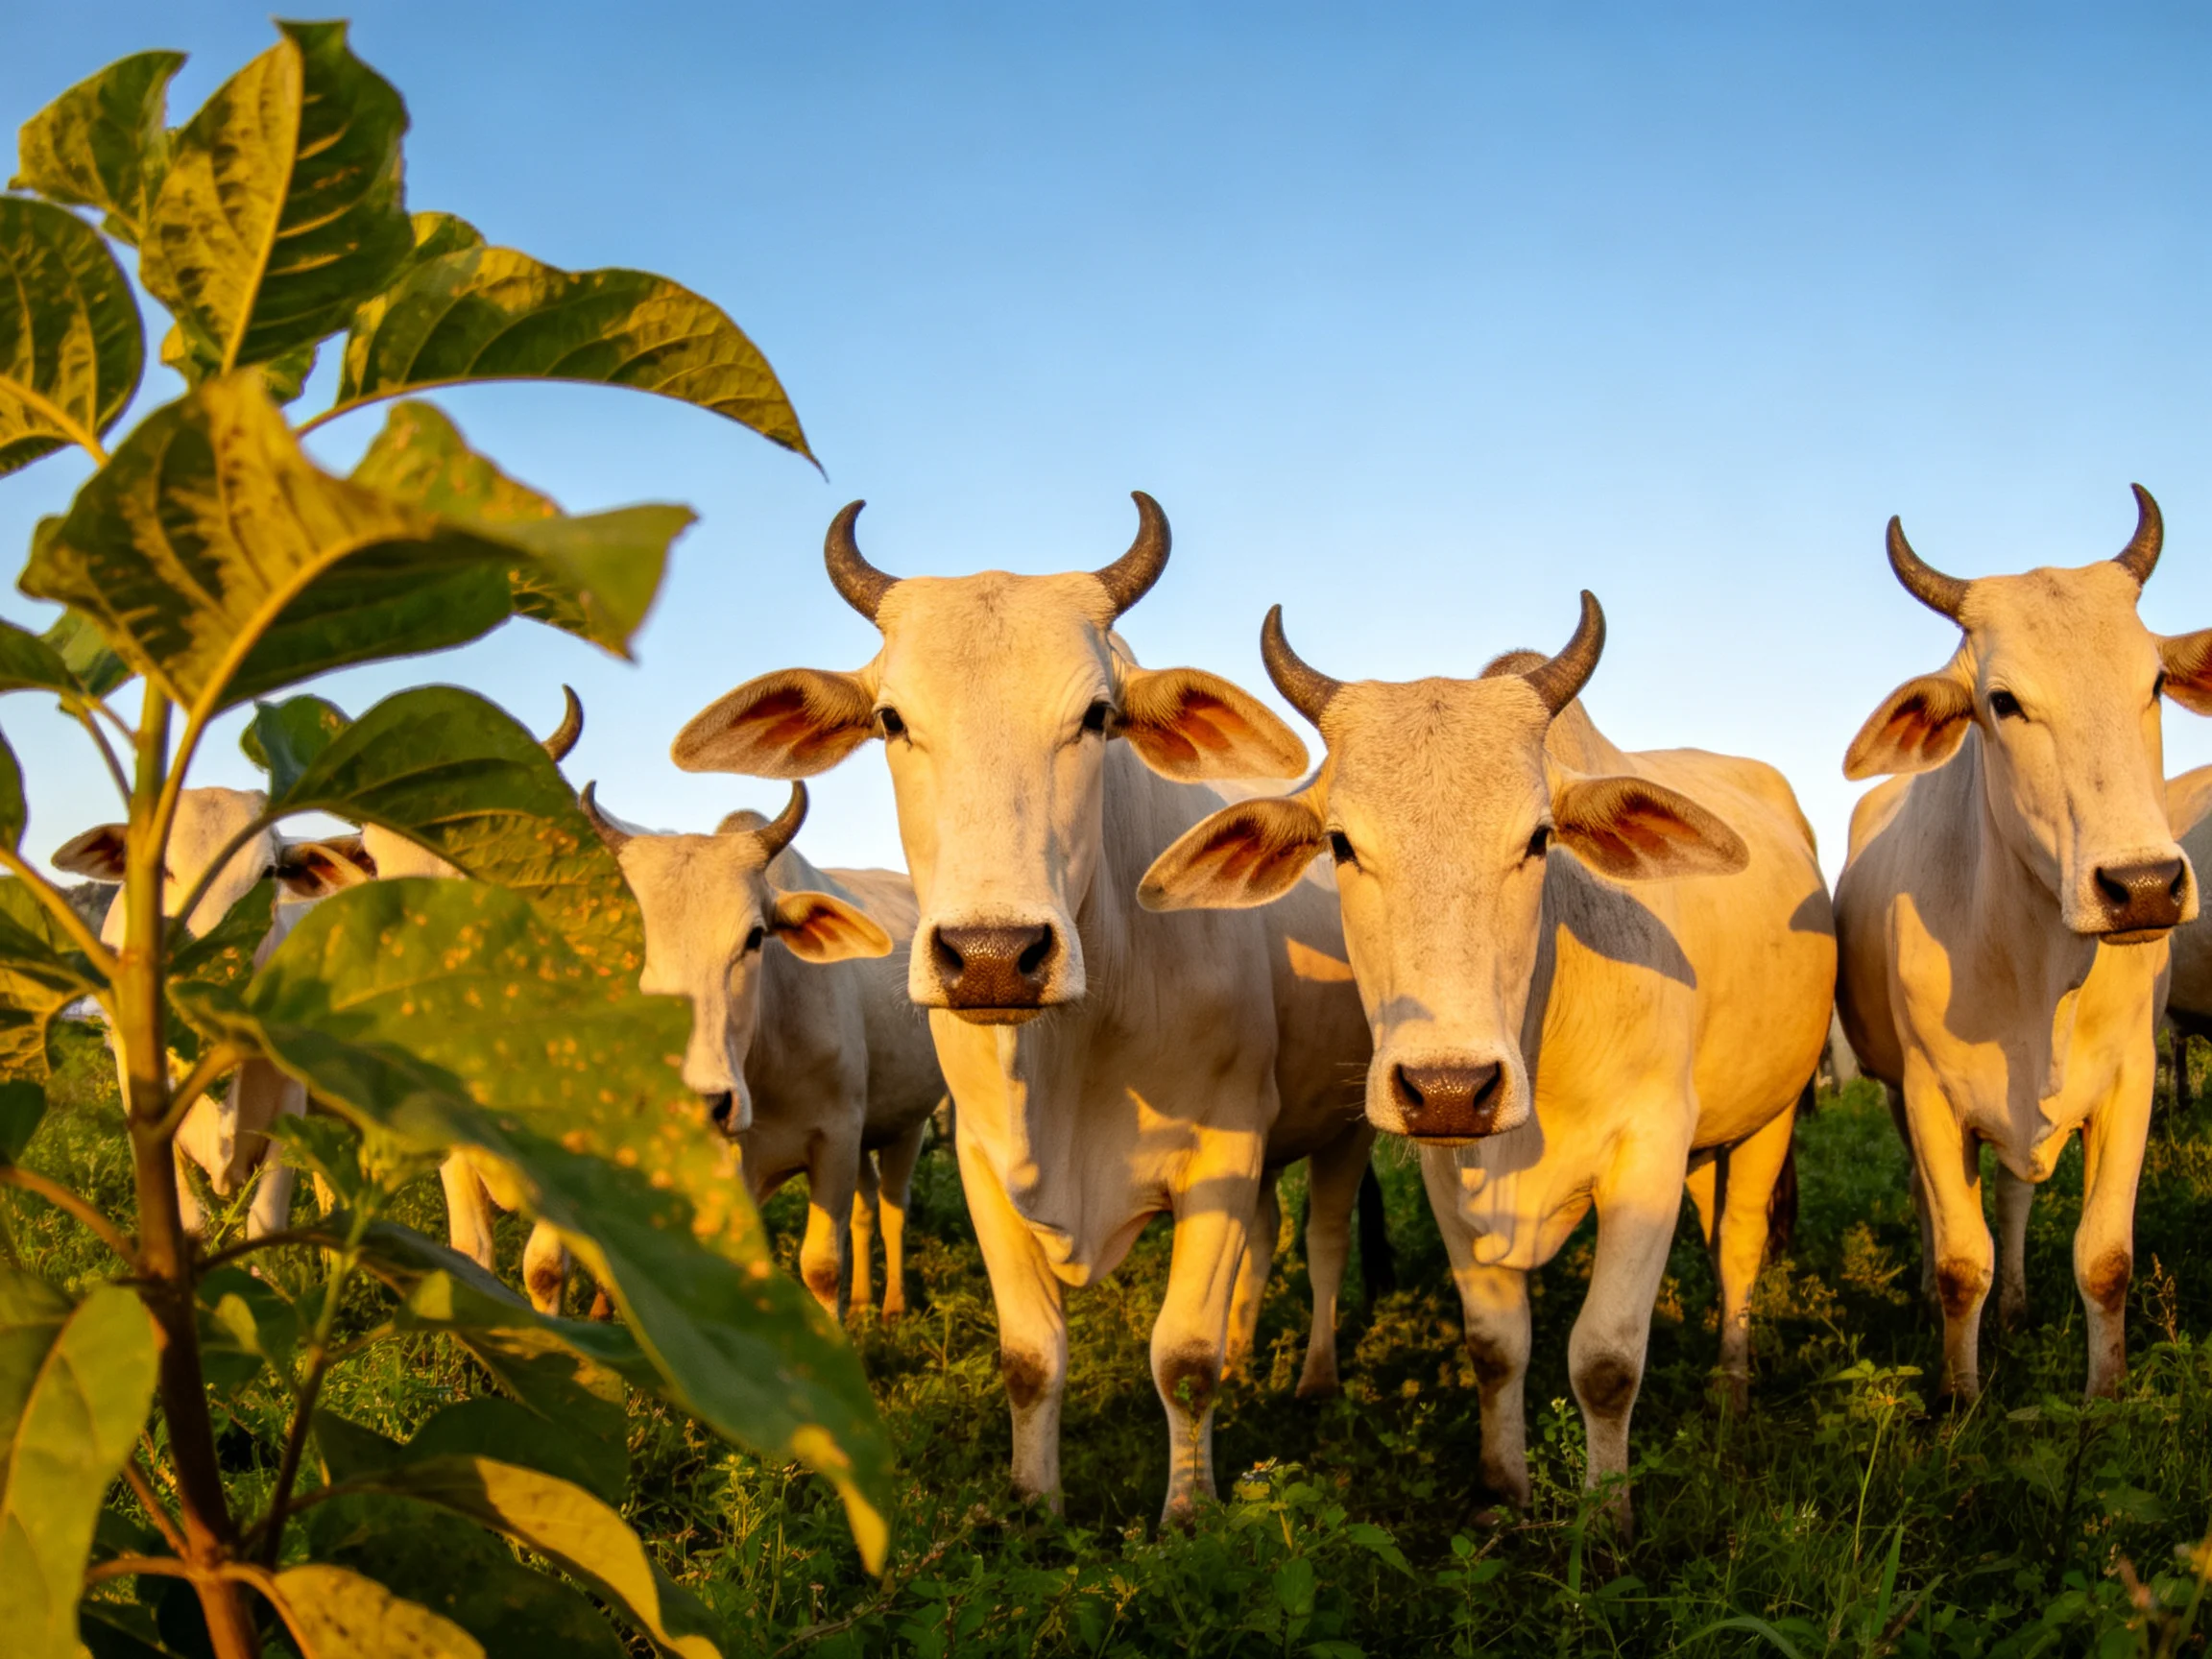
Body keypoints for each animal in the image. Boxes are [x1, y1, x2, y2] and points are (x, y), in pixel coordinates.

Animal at [53, 789, 370, 1237]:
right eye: (161, 871)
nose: (216, 972)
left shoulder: (289, 1104)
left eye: (269, 872)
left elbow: (264, 1221)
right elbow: (191, 1222)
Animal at [575, 779, 948, 1320]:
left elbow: (821, 1266)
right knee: (867, 1207)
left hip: (909, 1124)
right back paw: (860, 1303)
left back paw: (892, 1306)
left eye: (755, 937)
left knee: (893, 1206)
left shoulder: (836, 1137)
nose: (704, 1100)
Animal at [669, 495, 1375, 1519]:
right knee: (1270, 1240)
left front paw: (1188, 1511)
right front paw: (1033, 1503)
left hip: (1347, 1125)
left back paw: (1313, 1376)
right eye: (892, 719)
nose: (993, 958)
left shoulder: (1227, 1145)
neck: (1071, 1051)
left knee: (1320, 1242)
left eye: (1096, 716)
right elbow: (1031, 1357)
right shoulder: (981, 1162)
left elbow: (1183, 1359)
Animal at [1134, 596, 1834, 1531]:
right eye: (1341, 844)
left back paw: (1731, 1386)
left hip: (1774, 1114)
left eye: (1540, 838)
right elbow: (1496, 1347)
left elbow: (1605, 1361)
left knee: (1742, 1245)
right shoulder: (1447, 1171)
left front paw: (1606, 1517)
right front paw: (1504, 1487)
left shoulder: (1646, 1153)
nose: (1449, 1088)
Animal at [1832, 486, 2212, 1401]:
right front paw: (1960, 1399)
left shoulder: (2131, 1083)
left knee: (2011, 1196)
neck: (2039, 964)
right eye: (2002, 702)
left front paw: (2105, 1397)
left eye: (2154, 682)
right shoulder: (1930, 1095)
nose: (2143, 885)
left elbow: (2103, 1258)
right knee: (1934, 1205)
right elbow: (1957, 1261)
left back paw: (2012, 1308)